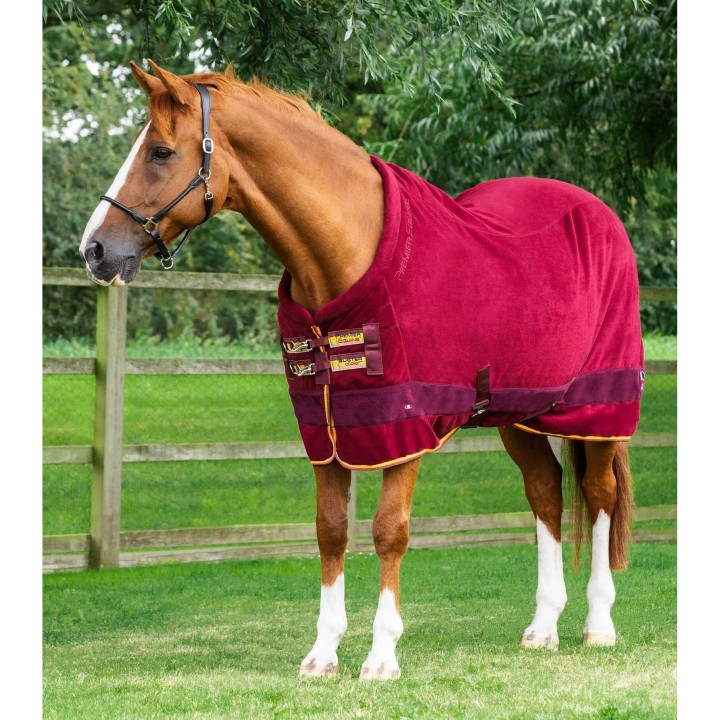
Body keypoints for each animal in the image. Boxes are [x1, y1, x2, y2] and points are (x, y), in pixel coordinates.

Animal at [80, 60, 643, 680]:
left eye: (159, 151)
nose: (95, 250)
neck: (346, 251)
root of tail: (599, 213)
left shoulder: (404, 425)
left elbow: (388, 532)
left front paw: (381, 656)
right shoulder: (327, 430)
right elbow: (331, 532)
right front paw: (323, 654)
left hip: (597, 407)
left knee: (599, 494)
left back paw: (599, 624)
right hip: (517, 413)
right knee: (545, 492)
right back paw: (543, 627)